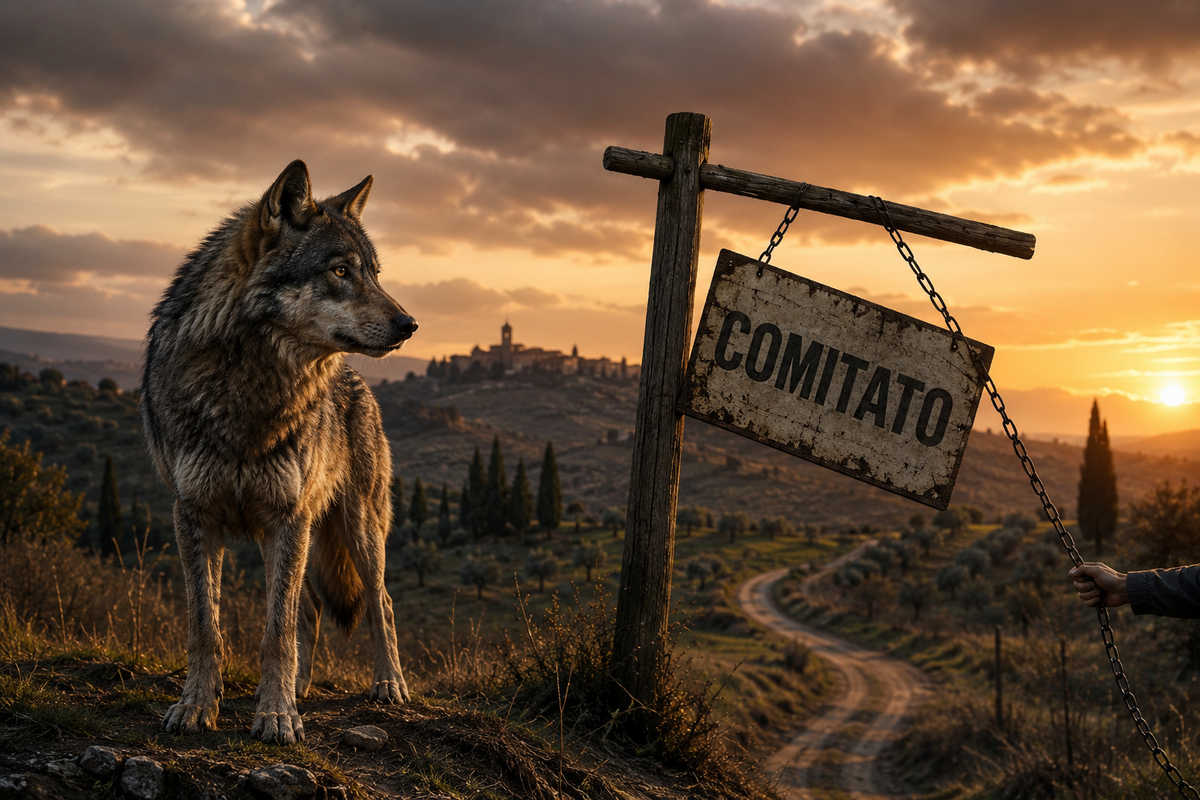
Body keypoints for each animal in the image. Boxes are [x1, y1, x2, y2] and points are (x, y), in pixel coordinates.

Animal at [141, 160, 417, 744]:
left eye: (374, 273)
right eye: (340, 271)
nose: (410, 325)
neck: (249, 386)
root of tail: (359, 383)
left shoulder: (286, 516)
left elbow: (276, 632)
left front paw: (275, 716)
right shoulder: (193, 513)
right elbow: (206, 625)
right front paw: (196, 706)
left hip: (356, 527)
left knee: (377, 601)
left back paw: (388, 685)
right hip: (305, 536)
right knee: (309, 609)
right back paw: (303, 687)